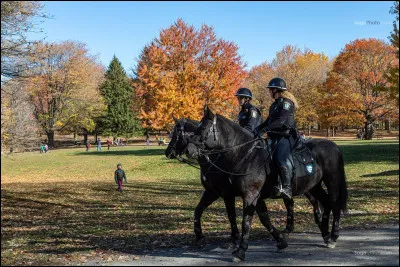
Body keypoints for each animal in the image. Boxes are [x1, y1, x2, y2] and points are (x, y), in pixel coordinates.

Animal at [166, 117, 324, 249]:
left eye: (176, 134)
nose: (168, 152)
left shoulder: (227, 194)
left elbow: (232, 215)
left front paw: (235, 238)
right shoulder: (212, 192)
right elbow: (198, 211)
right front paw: (199, 236)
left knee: (310, 200)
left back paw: (319, 219)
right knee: (297, 201)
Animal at [186, 107, 348, 262]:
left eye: (203, 128)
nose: (189, 150)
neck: (246, 155)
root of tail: (333, 145)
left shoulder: (249, 196)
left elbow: (246, 222)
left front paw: (240, 251)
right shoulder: (251, 197)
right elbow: (264, 219)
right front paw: (281, 241)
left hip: (332, 181)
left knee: (334, 204)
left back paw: (333, 235)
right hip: (314, 186)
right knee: (326, 203)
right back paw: (326, 234)